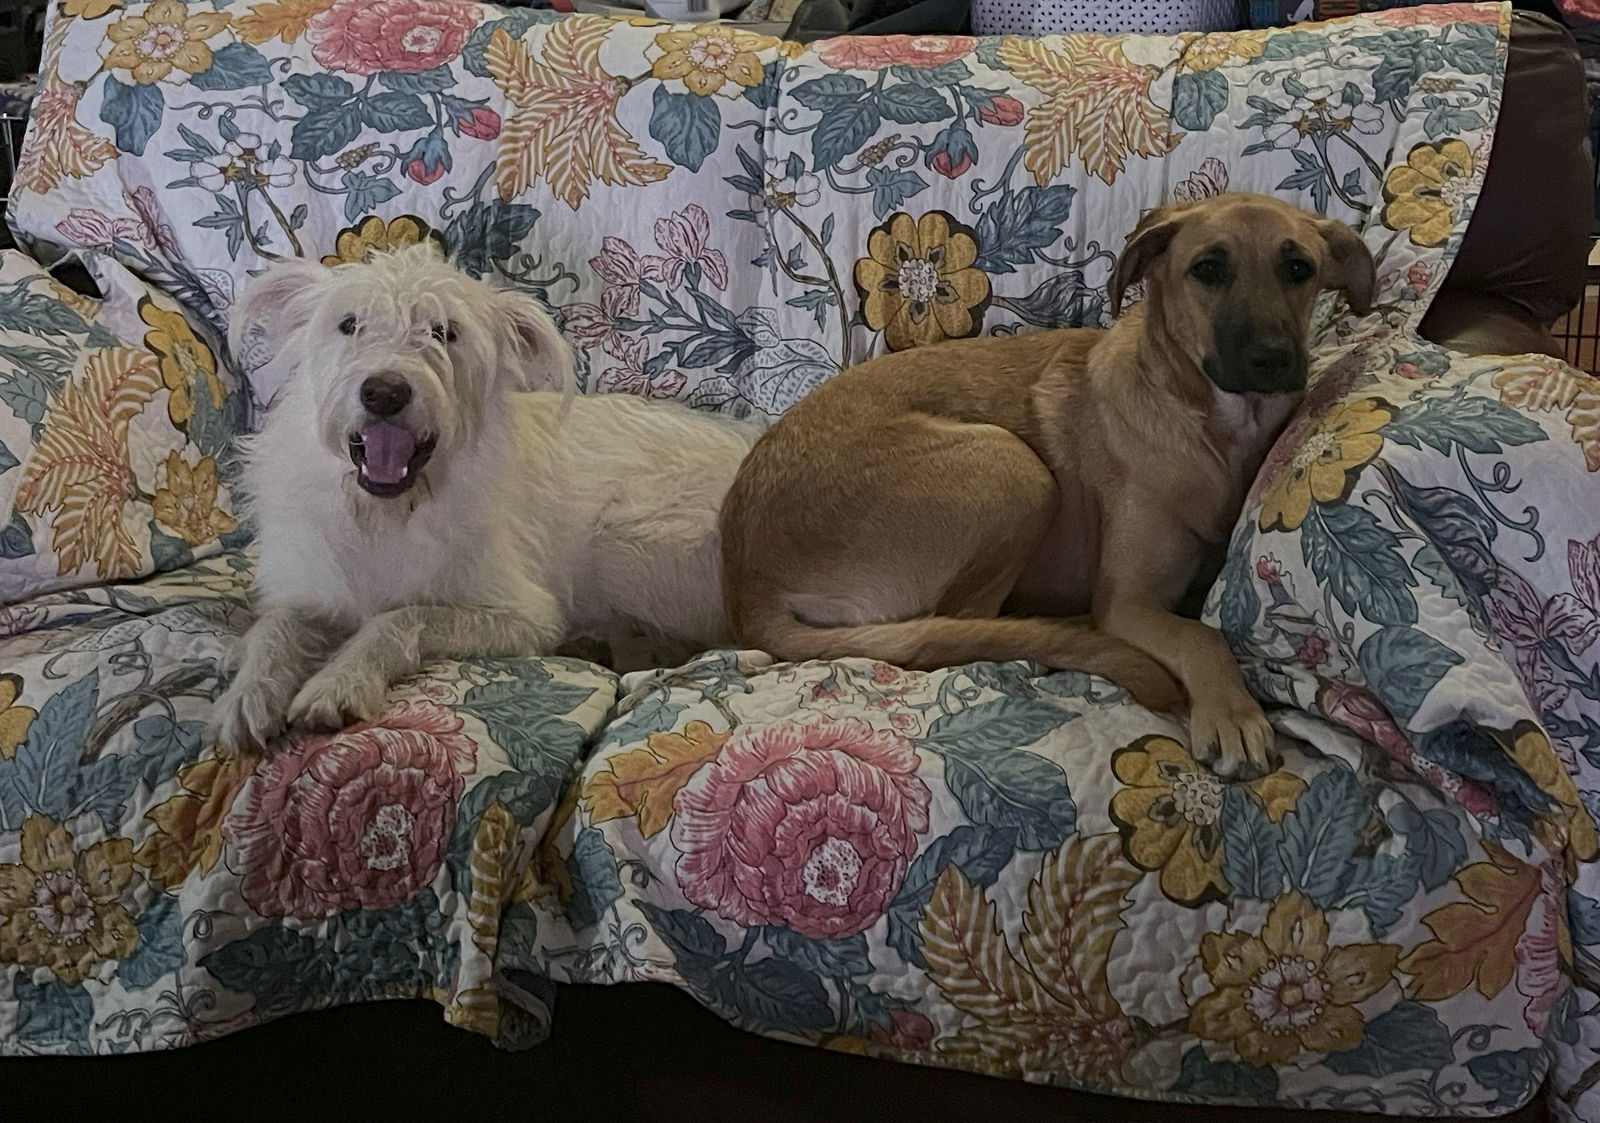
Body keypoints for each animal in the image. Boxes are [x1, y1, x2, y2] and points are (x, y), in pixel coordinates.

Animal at [216, 241, 758, 751]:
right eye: (348, 324)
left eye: (445, 332)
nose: (385, 392)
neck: (385, 513)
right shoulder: (311, 588)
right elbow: (274, 626)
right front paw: (248, 693)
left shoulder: (524, 616)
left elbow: (401, 617)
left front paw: (341, 679)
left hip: (626, 540)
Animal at [723, 193, 1376, 777]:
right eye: (1208, 269)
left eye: (1299, 268)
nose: (1274, 358)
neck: (1210, 429)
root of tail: (746, 580)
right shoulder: (1129, 601)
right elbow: (1200, 638)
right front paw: (1234, 717)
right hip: (1014, 467)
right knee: (966, 624)